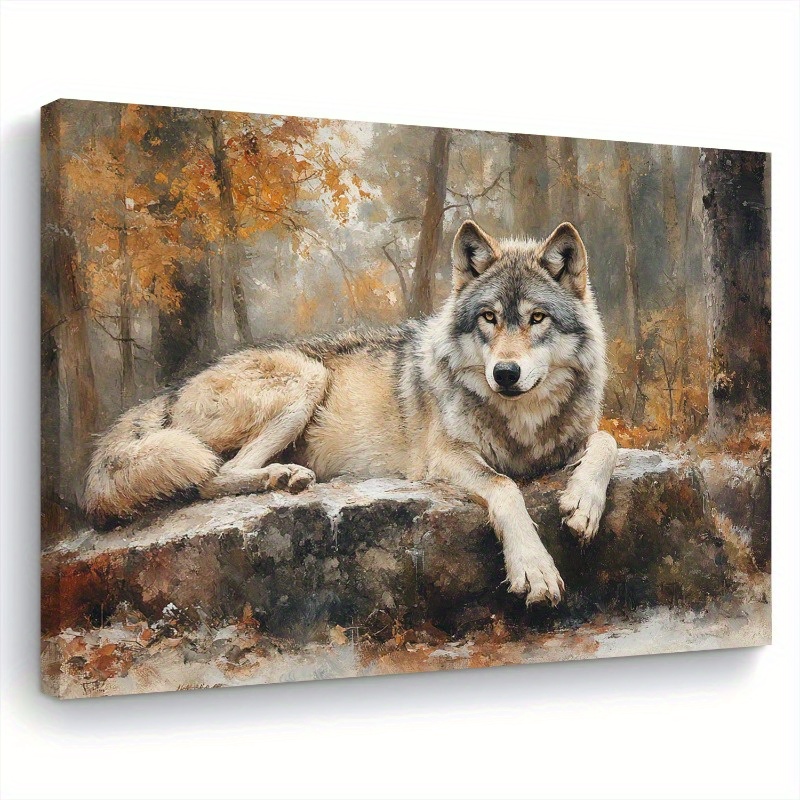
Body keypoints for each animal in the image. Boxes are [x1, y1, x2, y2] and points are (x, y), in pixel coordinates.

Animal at [84, 220, 618, 606]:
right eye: (489, 318)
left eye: (536, 318)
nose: (505, 373)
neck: (519, 421)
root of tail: (169, 394)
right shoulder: (444, 458)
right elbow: (505, 486)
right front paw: (535, 568)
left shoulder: (570, 439)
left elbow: (608, 441)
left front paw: (583, 505)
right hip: (306, 378)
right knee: (213, 475)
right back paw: (282, 477)